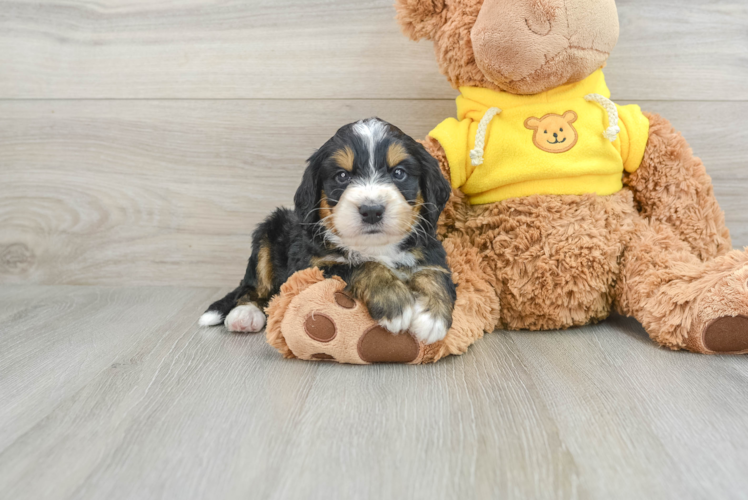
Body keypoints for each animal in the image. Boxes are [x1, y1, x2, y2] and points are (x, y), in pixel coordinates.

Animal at [199, 118, 456, 344]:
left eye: (399, 173)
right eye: (342, 176)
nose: (372, 210)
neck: (375, 246)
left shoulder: (431, 251)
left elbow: (435, 274)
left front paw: (432, 316)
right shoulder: (310, 269)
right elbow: (360, 265)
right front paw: (394, 300)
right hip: (269, 231)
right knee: (253, 287)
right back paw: (245, 314)